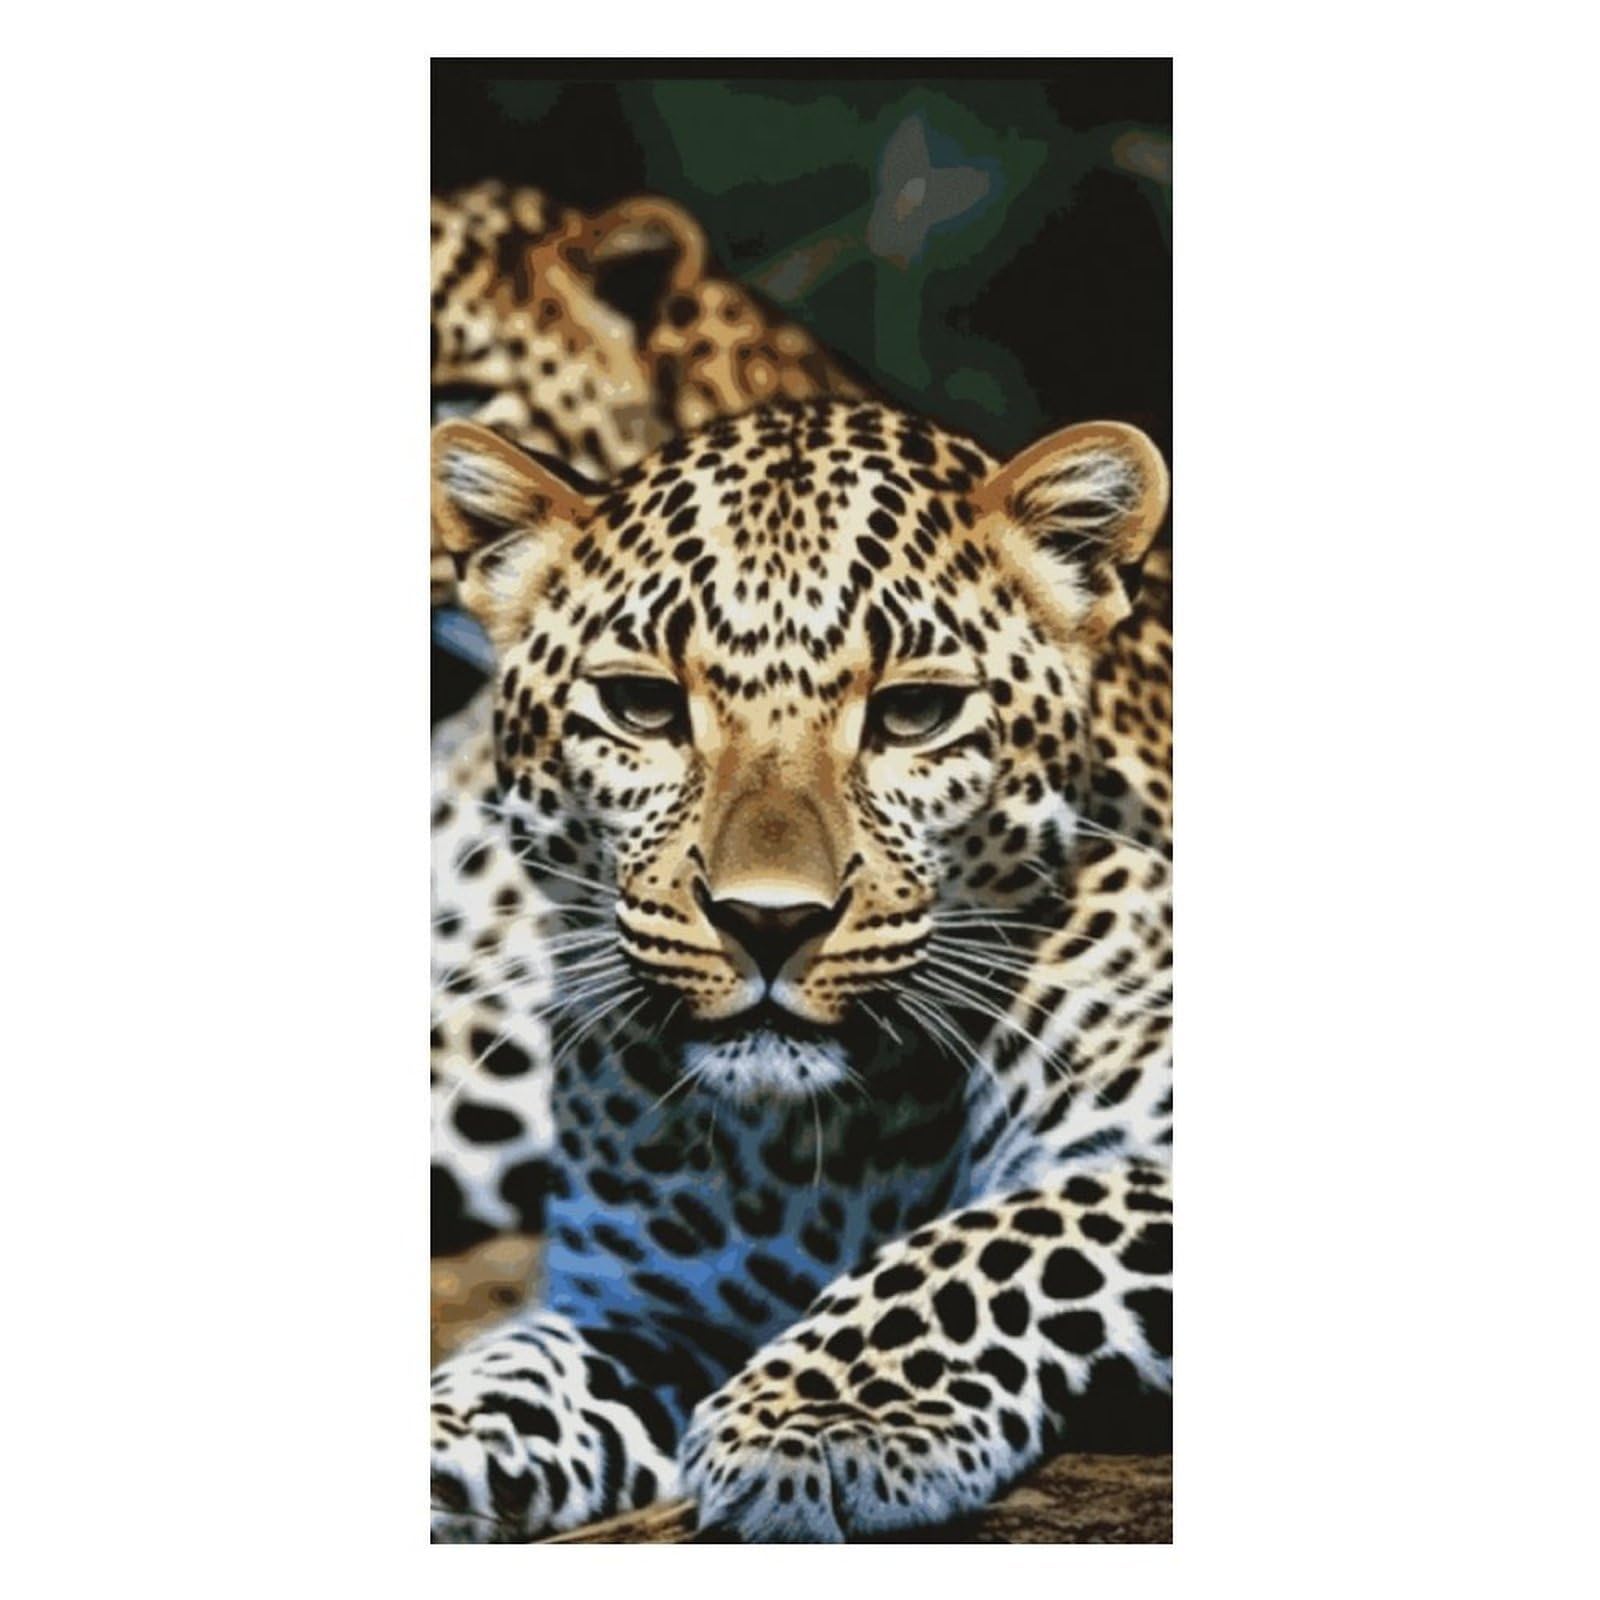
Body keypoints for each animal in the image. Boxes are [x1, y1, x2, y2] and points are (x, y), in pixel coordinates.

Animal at [426, 394, 1173, 1541]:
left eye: (914, 715)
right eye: (642, 706)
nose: (767, 922)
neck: (819, 1147)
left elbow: (1011, 1228)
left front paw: (817, 1416)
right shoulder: (647, 1311)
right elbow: (516, 1367)